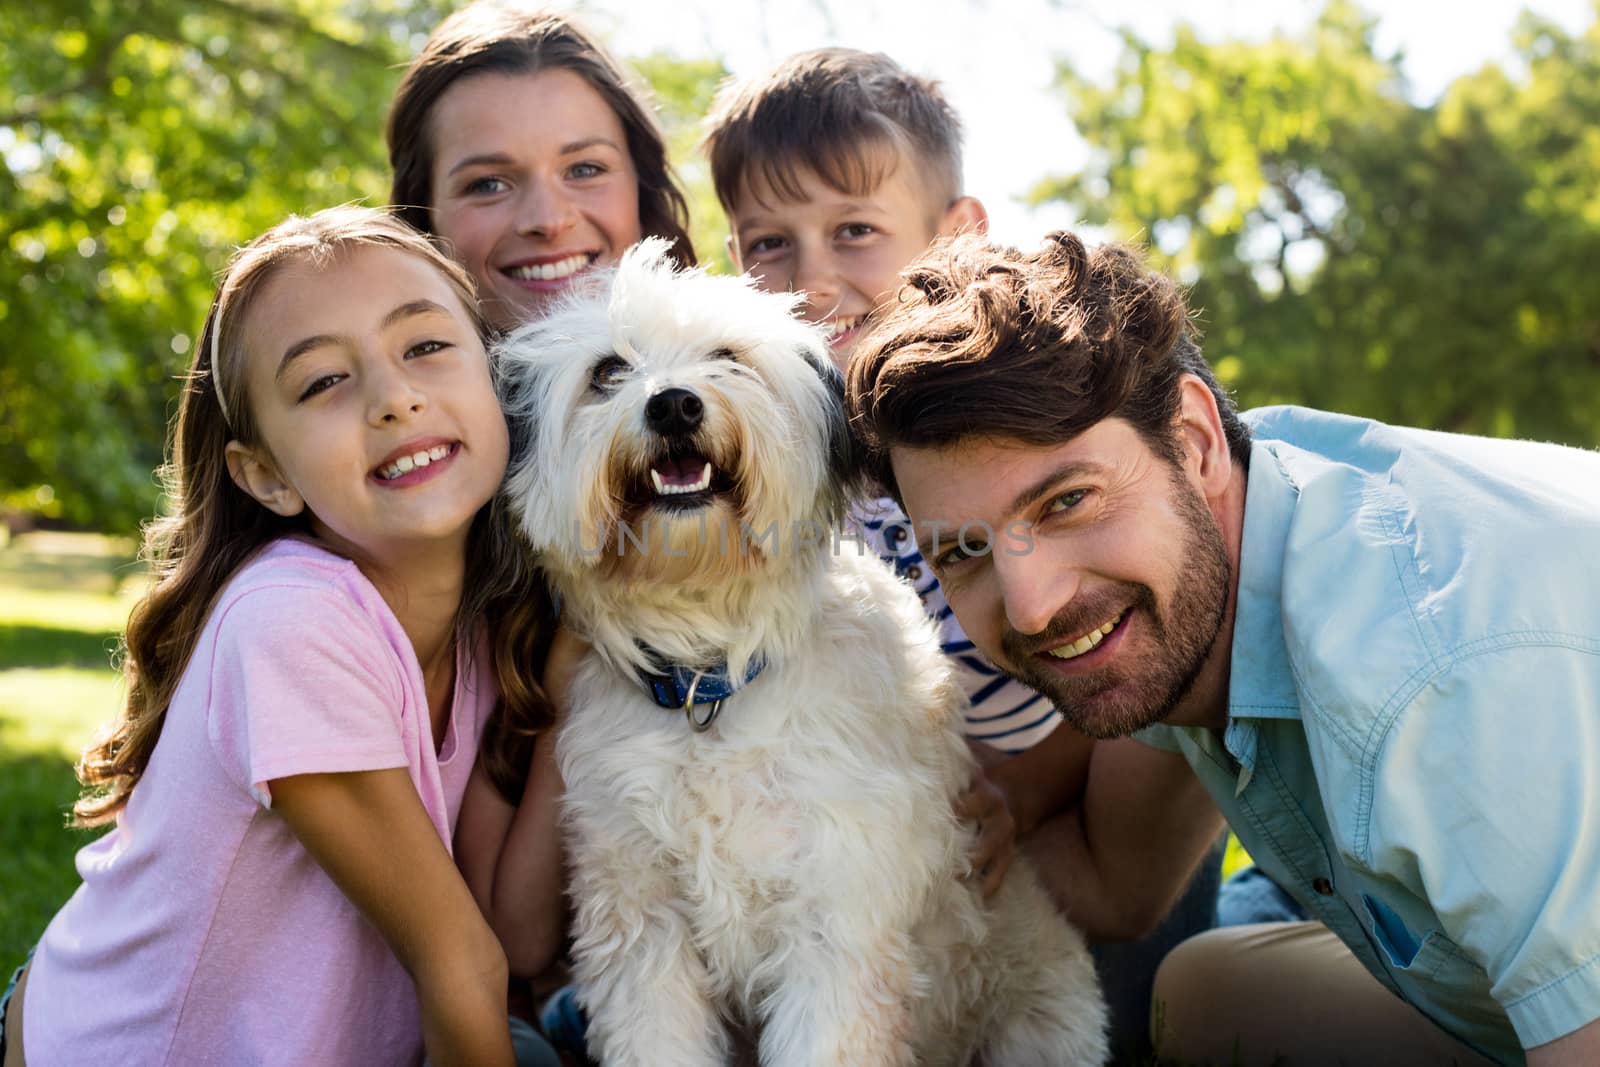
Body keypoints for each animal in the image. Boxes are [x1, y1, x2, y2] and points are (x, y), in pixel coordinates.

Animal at [505, 244, 1107, 1067]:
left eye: (727, 357)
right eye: (608, 370)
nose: (673, 406)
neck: (712, 680)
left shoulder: (837, 925)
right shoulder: (641, 931)